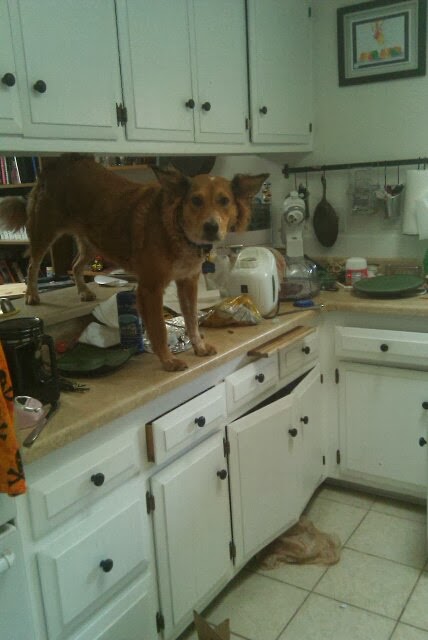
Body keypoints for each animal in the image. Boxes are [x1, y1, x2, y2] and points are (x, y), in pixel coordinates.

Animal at [0, 154, 268, 371]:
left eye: (224, 201)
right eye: (196, 201)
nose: (211, 227)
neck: (177, 230)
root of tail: (58, 161)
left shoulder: (188, 282)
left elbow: (191, 319)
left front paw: (199, 347)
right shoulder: (150, 288)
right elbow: (159, 328)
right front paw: (167, 360)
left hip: (93, 241)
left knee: (75, 265)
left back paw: (84, 291)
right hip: (44, 233)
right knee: (33, 265)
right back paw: (32, 295)